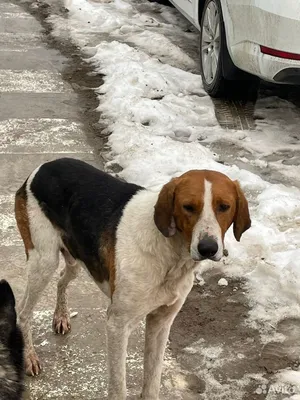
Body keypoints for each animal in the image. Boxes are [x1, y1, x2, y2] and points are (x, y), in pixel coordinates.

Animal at [15, 158, 252, 398]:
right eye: (188, 207)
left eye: (224, 206)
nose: (208, 248)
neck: (170, 253)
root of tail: (44, 166)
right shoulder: (117, 325)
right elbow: (118, 388)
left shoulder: (161, 321)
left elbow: (152, 382)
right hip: (44, 261)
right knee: (23, 312)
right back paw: (29, 357)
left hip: (76, 261)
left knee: (62, 280)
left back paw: (61, 316)